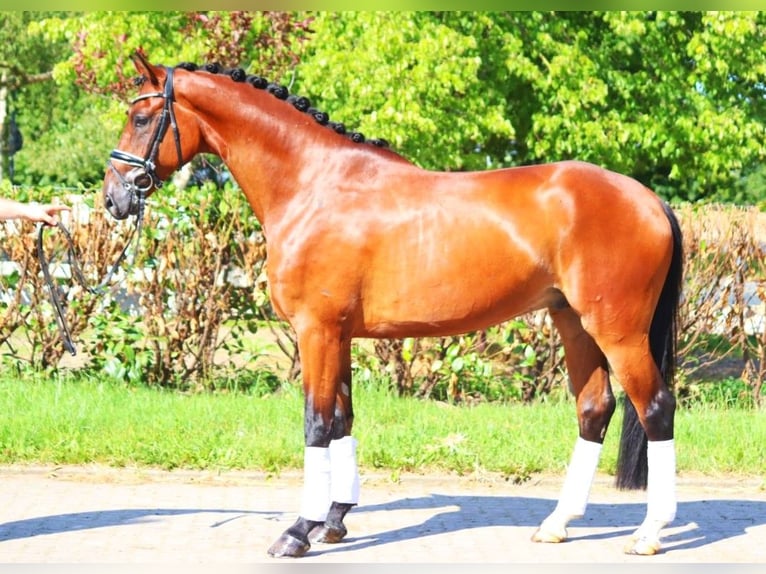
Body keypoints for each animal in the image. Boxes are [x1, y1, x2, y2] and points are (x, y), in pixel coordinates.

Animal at [100, 53, 684, 560]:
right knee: (594, 409)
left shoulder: (316, 330)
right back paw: (557, 523)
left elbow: (316, 423)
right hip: (574, 322)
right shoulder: (337, 334)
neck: (315, 185)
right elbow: (341, 418)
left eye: (141, 117)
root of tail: (648, 198)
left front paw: (297, 531)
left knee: (655, 407)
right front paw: (333, 521)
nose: (113, 199)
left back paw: (650, 532)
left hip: (618, 331)